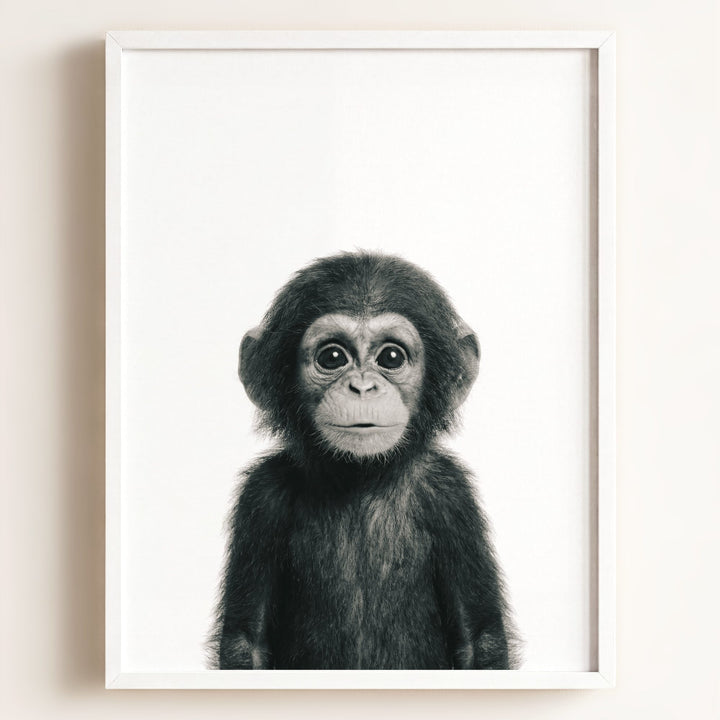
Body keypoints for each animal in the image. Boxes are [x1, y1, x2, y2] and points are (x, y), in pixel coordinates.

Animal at [210, 251, 519, 670]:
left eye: (391, 356)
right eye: (332, 357)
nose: (362, 386)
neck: (360, 477)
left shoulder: (452, 496)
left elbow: (480, 640)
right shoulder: (261, 497)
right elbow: (246, 641)